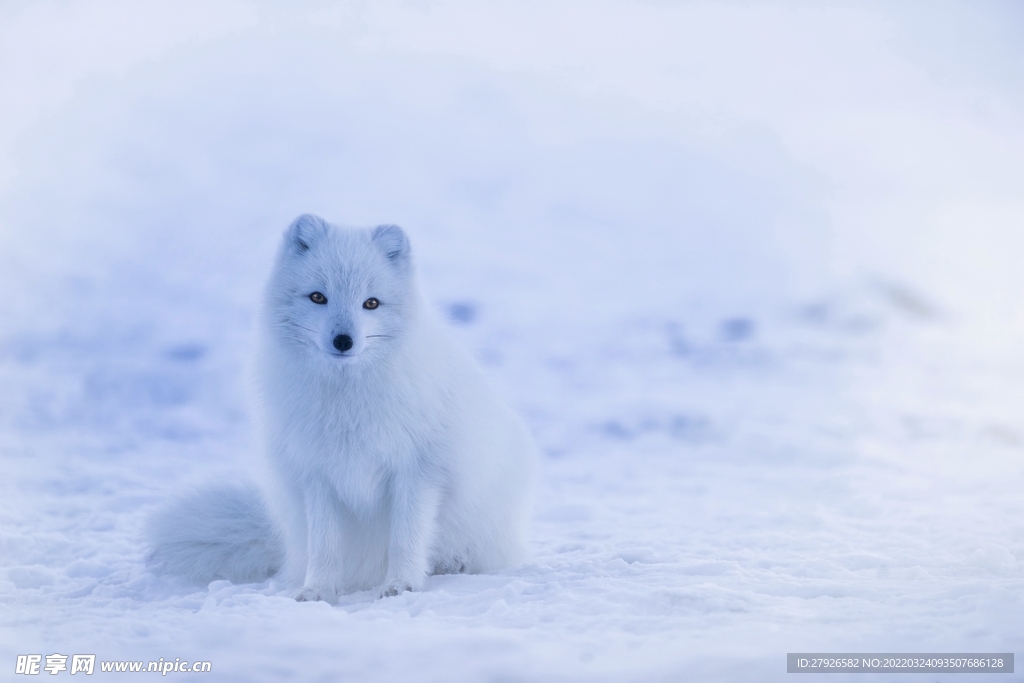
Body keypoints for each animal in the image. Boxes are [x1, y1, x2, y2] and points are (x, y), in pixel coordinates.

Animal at [151, 216, 540, 602]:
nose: (343, 340)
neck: (347, 400)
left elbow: (406, 538)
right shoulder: (317, 475)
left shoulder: (418, 472)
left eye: (371, 303)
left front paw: (402, 585)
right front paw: (318, 590)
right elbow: (325, 546)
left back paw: (452, 564)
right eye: (318, 297)